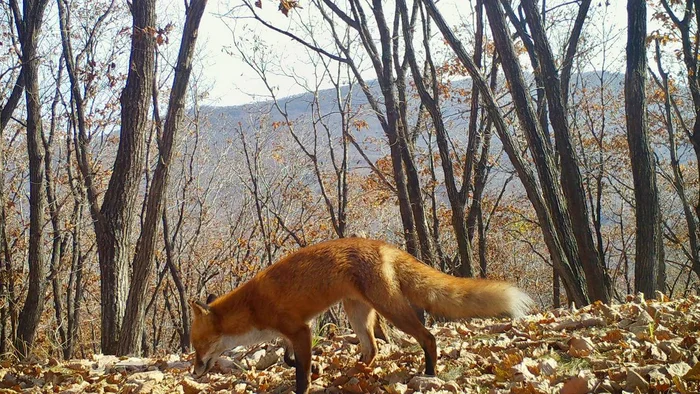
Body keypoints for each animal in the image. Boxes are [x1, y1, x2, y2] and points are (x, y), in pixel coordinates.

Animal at [189, 237, 532, 394]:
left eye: (197, 346)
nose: (194, 372)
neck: (252, 307)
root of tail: (381, 244)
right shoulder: (296, 330)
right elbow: (290, 360)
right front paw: (315, 368)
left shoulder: (299, 330)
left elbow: (300, 373)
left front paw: (306, 382)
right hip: (356, 314)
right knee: (373, 349)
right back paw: (354, 373)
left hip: (389, 310)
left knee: (427, 337)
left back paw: (429, 373)